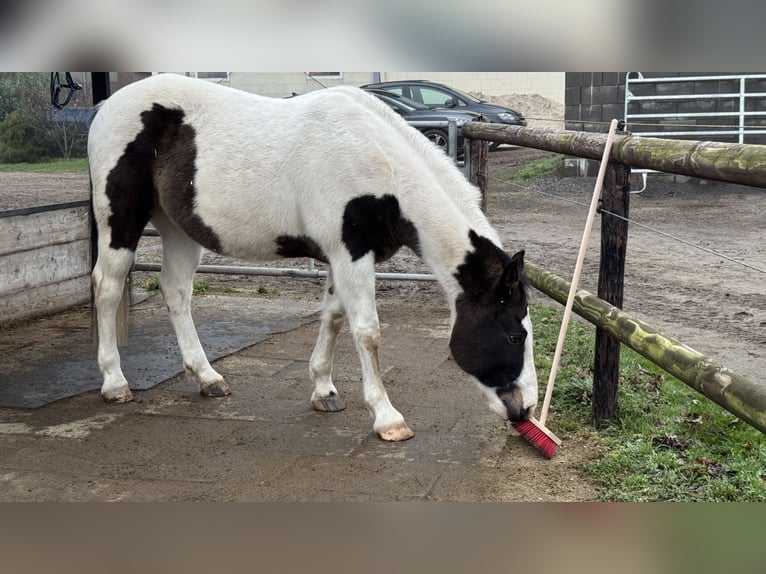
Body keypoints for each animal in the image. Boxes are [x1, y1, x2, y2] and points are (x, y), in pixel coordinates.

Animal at [88, 73, 538, 442]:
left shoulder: (343, 257)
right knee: (107, 287)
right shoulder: (351, 253)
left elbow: (334, 317)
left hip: (178, 229)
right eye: (515, 335)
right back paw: (115, 383)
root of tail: (105, 107)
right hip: (121, 220)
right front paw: (387, 418)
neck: (380, 164)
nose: (525, 411)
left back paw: (207, 377)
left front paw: (324, 389)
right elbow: (367, 331)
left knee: (176, 291)